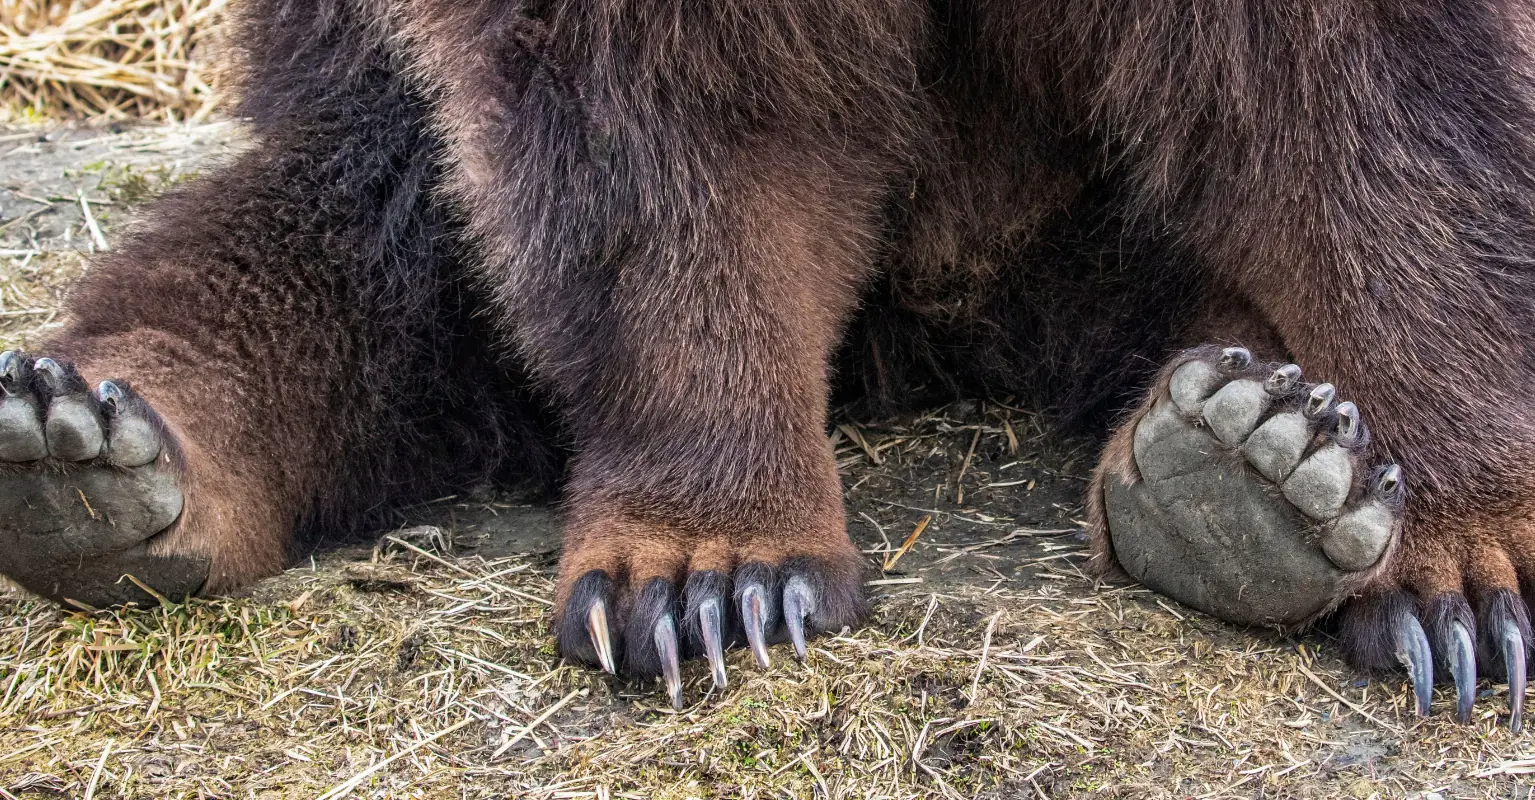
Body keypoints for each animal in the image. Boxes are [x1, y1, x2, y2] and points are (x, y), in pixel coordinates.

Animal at [1, 0, 1532, 727]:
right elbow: (671, 128)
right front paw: (709, 574)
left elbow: (1383, 117)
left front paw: (1460, 577)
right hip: (381, 132)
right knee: (317, 253)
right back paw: (96, 451)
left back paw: (1251, 458)